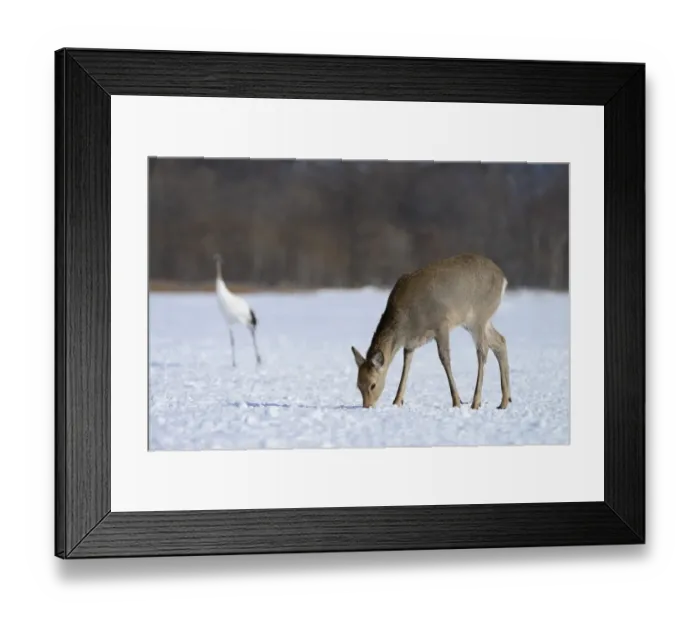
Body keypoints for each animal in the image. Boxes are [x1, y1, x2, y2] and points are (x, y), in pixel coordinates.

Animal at [351, 253, 511, 410]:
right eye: (358, 385)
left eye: (373, 385)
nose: (367, 406)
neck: (406, 322)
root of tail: (503, 278)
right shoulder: (410, 343)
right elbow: (406, 365)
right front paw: (397, 401)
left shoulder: (441, 324)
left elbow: (445, 359)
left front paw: (457, 401)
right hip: (475, 321)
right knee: (500, 341)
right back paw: (504, 401)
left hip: (479, 315)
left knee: (482, 351)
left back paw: (476, 402)